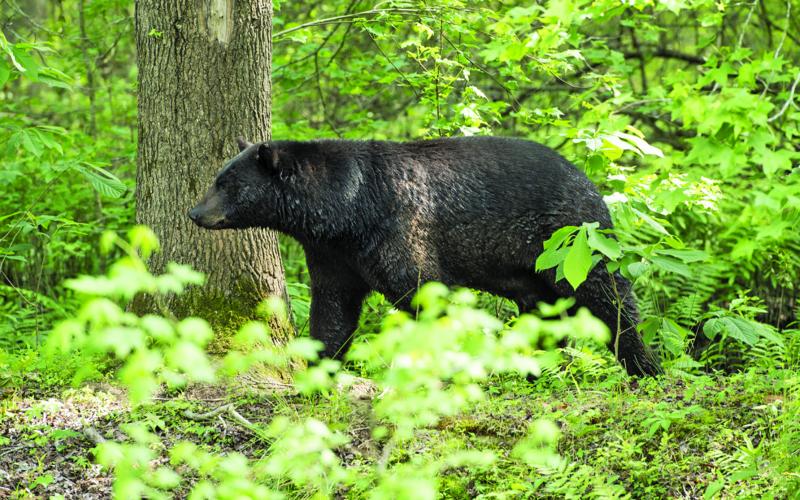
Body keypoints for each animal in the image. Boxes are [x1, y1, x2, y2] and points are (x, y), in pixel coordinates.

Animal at [189, 136, 662, 377]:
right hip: (529, 268)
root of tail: (589, 183)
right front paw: (321, 365)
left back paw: (643, 366)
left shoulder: (398, 228)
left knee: (608, 295)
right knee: (543, 309)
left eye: (226, 183)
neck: (348, 209)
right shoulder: (333, 254)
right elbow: (333, 309)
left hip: (571, 241)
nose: (194, 212)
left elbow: (421, 290)